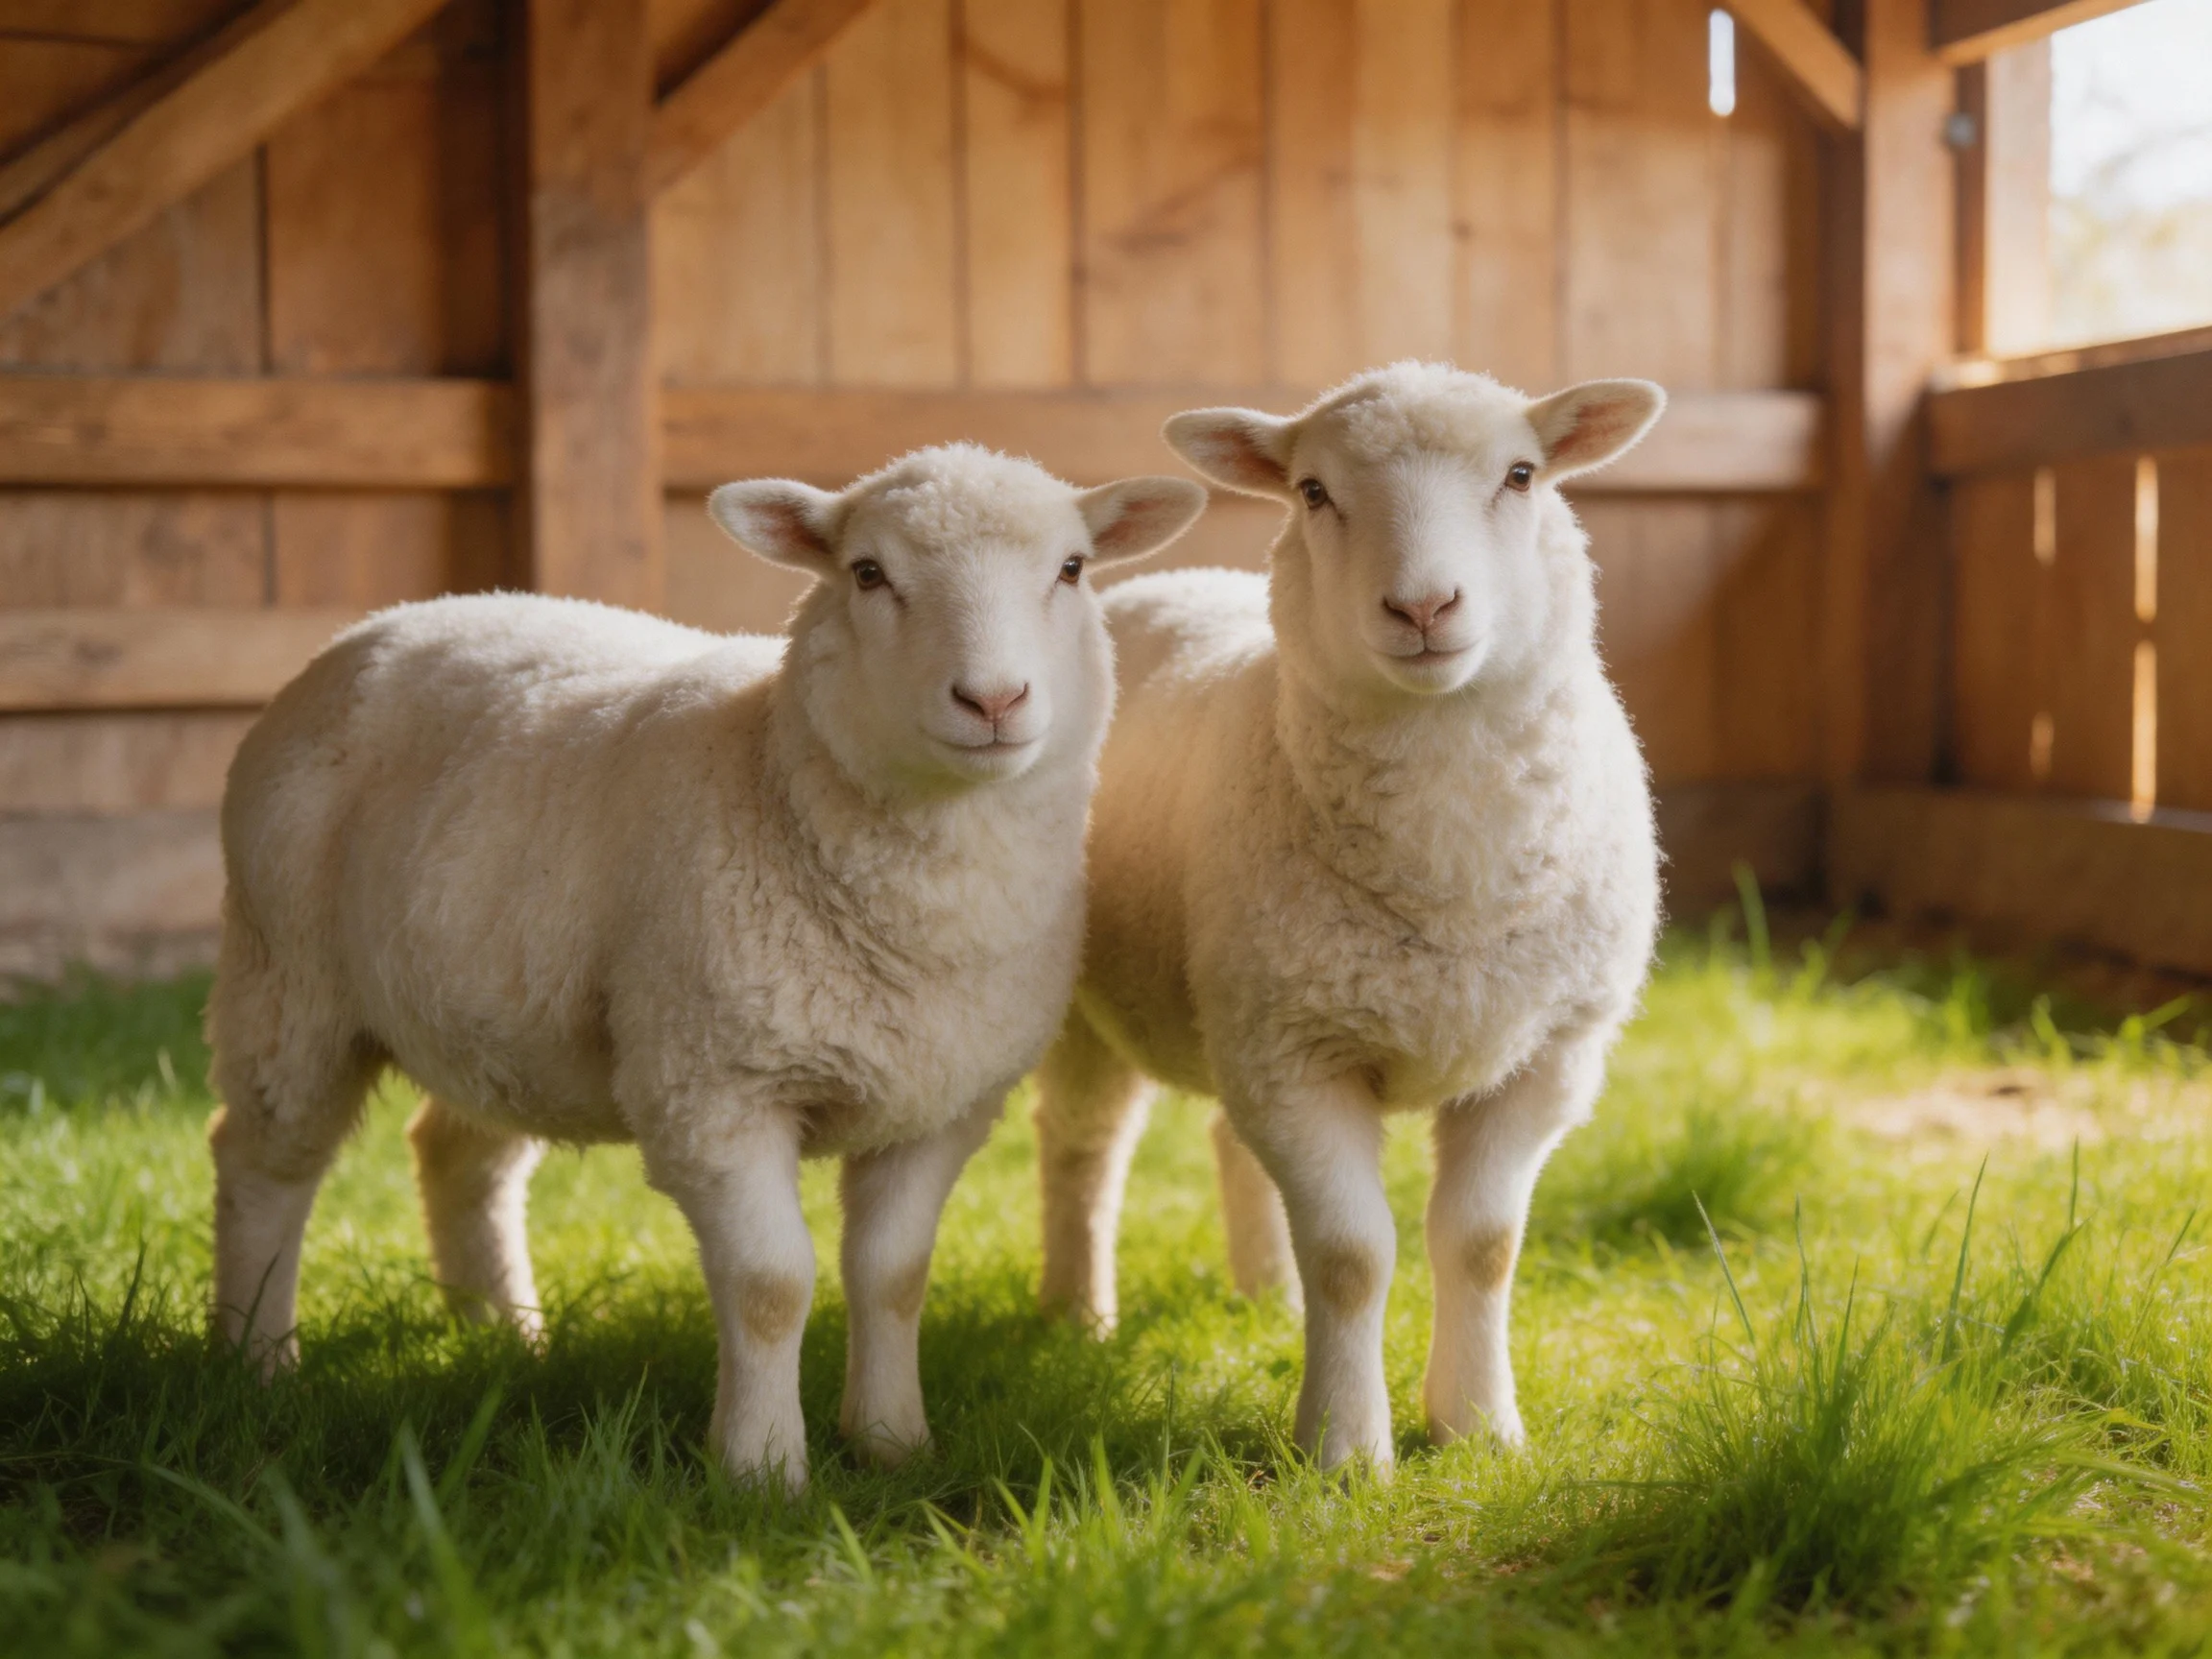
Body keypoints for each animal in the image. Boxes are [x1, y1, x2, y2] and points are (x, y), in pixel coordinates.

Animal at [205, 444, 1207, 1492]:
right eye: (867, 573)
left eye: (1072, 569)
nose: (994, 700)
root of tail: (381, 624)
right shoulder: (716, 1087)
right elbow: (771, 1284)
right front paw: (762, 1472)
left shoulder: (940, 1102)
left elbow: (893, 1278)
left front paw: (892, 1445)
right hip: (288, 976)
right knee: (263, 1163)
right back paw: (256, 1361)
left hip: (502, 1011)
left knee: (457, 1153)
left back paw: (502, 1336)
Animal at [1033, 363, 1665, 1474]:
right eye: (1314, 492)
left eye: (1521, 474)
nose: (1422, 605)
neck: (1450, 870)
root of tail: (1170, 580)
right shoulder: (1297, 1053)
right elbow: (1351, 1254)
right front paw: (1342, 1451)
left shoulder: (1543, 1058)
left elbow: (1482, 1245)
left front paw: (1479, 1430)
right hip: (1106, 1009)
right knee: (1083, 1148)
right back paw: (1079, 1317)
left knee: (1229, 1141)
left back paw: (1266, 1301)